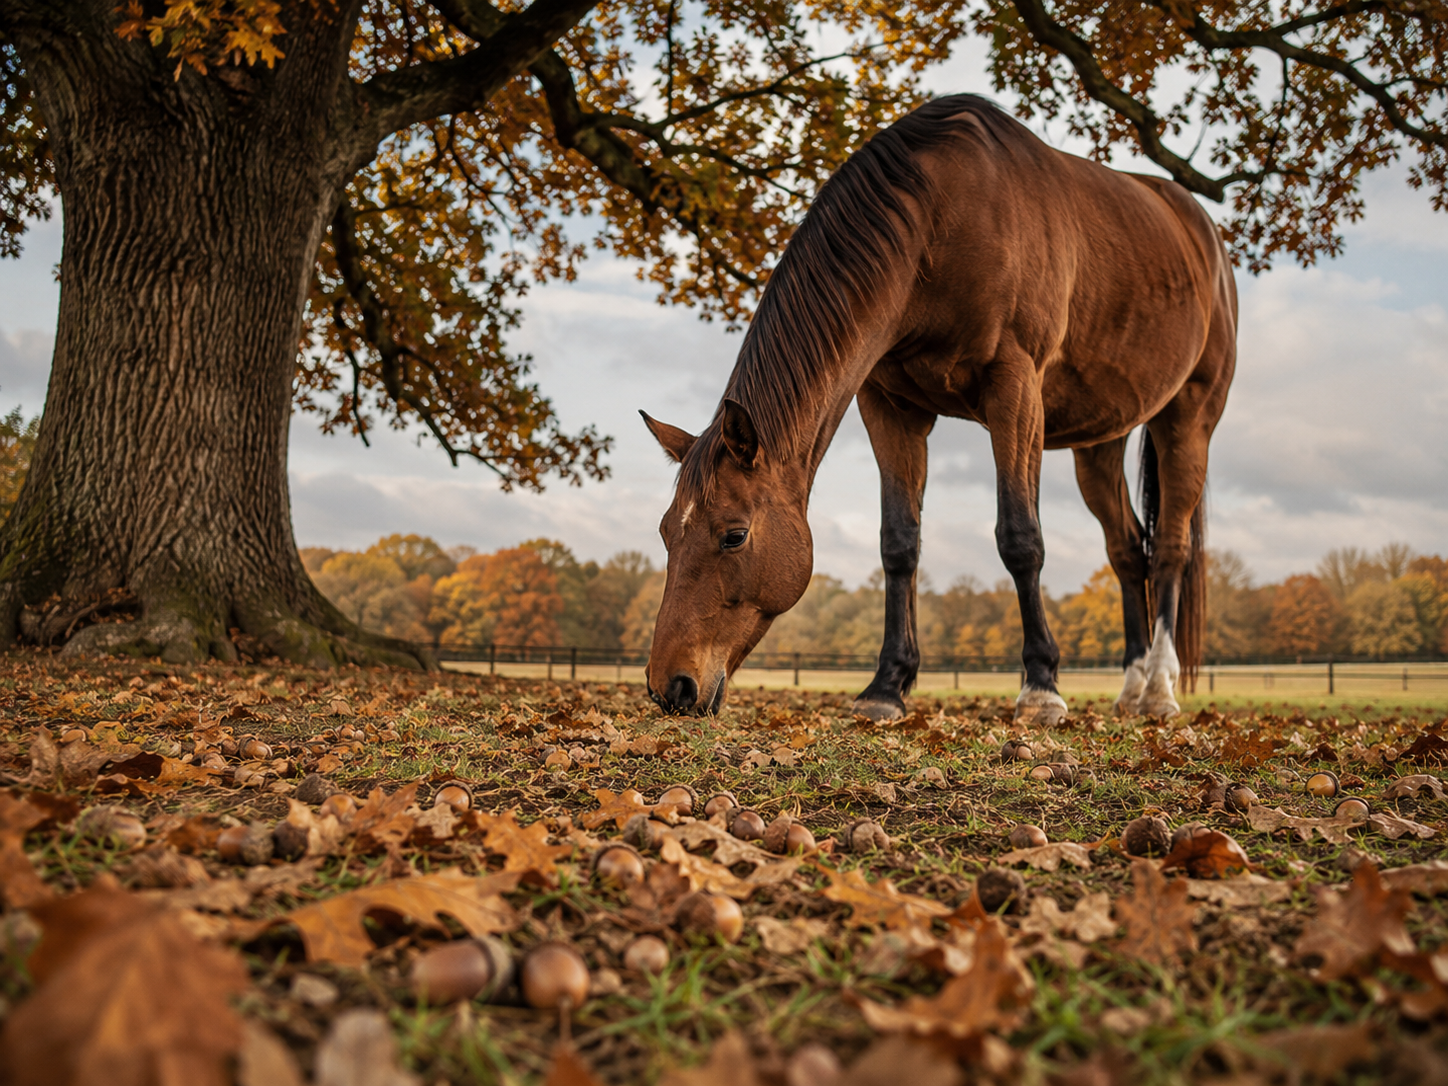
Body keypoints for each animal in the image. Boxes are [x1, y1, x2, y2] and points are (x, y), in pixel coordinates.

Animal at [641, 94, 1236, 724]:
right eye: (665, 531)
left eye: (734, 536)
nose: (669, 686)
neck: (938, 222)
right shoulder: (890, 407)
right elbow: (898, 543)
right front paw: (886, 686)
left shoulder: (1014, 391)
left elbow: (1020, 538)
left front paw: (1041, 688)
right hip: (1097, 445)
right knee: (1128, 553)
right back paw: (1130, 687)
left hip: (1188, 422)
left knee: (1169, 550)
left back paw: (1159, 689)